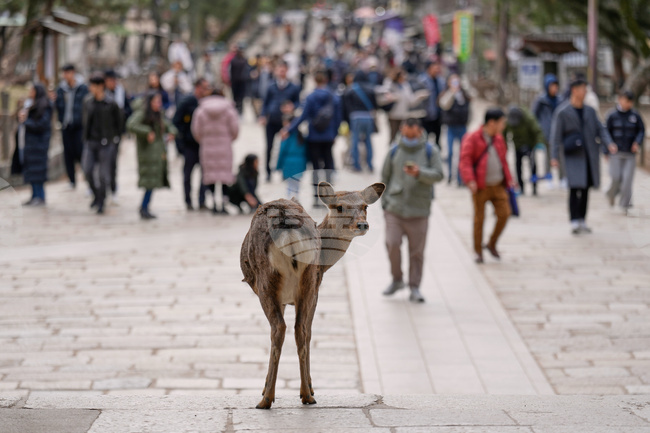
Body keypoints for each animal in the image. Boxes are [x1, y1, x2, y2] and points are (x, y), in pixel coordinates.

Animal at [240, 181, 385, 409]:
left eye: (365, 206)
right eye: (339, 207)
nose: (362, 225)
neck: (325, 263)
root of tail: (287, 224)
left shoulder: (311, 289)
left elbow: (306, 332)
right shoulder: (311, 287)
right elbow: (307, 331)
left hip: (269, 283)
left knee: (282, 328)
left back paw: (271, 398)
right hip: (307, 279)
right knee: (298, 329)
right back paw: (305, 395)